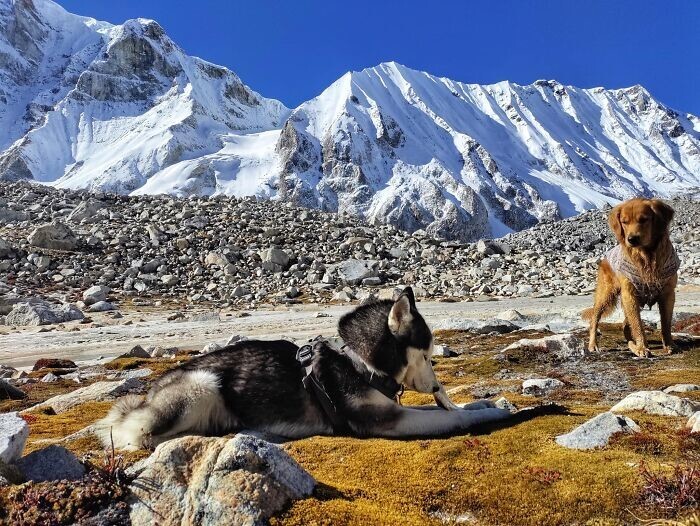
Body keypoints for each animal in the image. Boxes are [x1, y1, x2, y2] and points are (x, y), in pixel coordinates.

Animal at [584, 199, 680, 358]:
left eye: (644, 219)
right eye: (624, 222)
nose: (632, 239)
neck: (647, 256)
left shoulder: (668, 293)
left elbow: (666, 323)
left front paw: (669, 345)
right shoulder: (629, 295)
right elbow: (637, 324)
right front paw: (641, 347)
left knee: (625, 326)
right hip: (605, 295)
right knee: (595, 319)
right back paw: (593, 345)